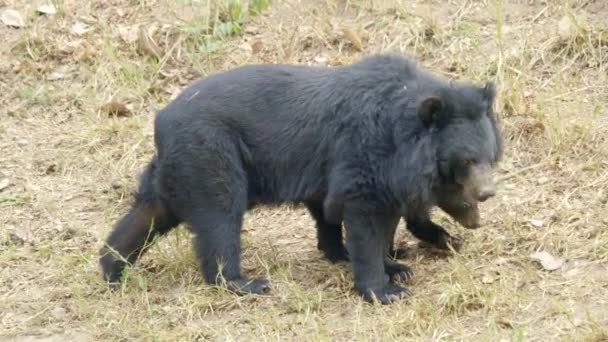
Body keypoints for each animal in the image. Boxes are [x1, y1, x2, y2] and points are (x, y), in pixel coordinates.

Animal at [98, 53, 498, 304]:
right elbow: (366, 220)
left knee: (147, 215)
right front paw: (384, 288)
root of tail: (160, 122)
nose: (488, 194)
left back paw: (111, 269)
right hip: (211, 159)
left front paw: (401, 259)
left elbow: (337, 213)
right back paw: (244, 283)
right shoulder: (365, 156)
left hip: (176, 172)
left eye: (491, 158)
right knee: (219, 221)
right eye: (467, 161)